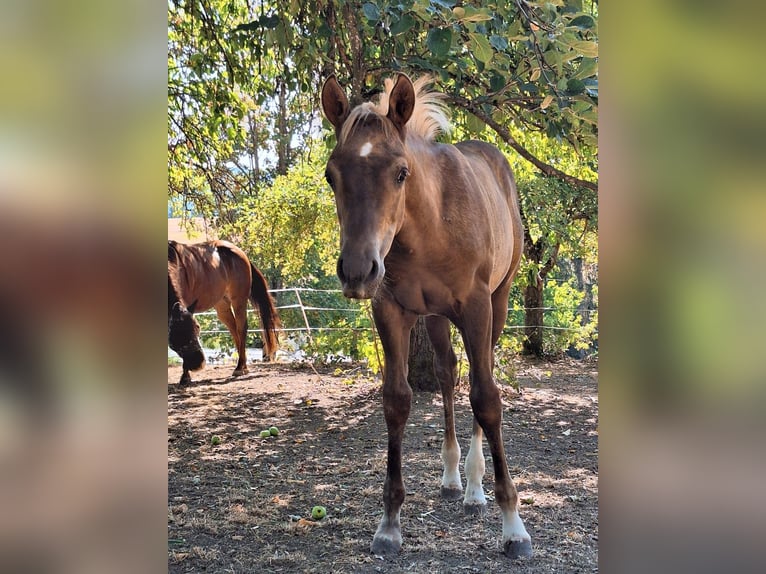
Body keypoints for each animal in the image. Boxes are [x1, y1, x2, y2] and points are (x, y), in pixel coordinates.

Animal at [167, 239, 281, 385]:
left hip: (239, 300)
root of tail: (241, 253)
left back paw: (240, 368)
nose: (198, 364)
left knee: (241, 329)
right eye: (173, 339)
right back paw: (242, 365)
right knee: (233, 330)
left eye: (197, 328)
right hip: (222, 305)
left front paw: (185, 376)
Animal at [321, 74, 531, 558]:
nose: (357, 271)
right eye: (330, 175)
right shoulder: (390, 309)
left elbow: (487, 399)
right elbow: (397, 401)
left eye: (401, 172)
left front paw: (513, 526)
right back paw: (454, 478)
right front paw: (389, 524)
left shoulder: (476, 308)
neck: (430, 225)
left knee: (480, 377)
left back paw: (474, 487)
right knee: (447, 373)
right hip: (435, 318)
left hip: (498, 304)